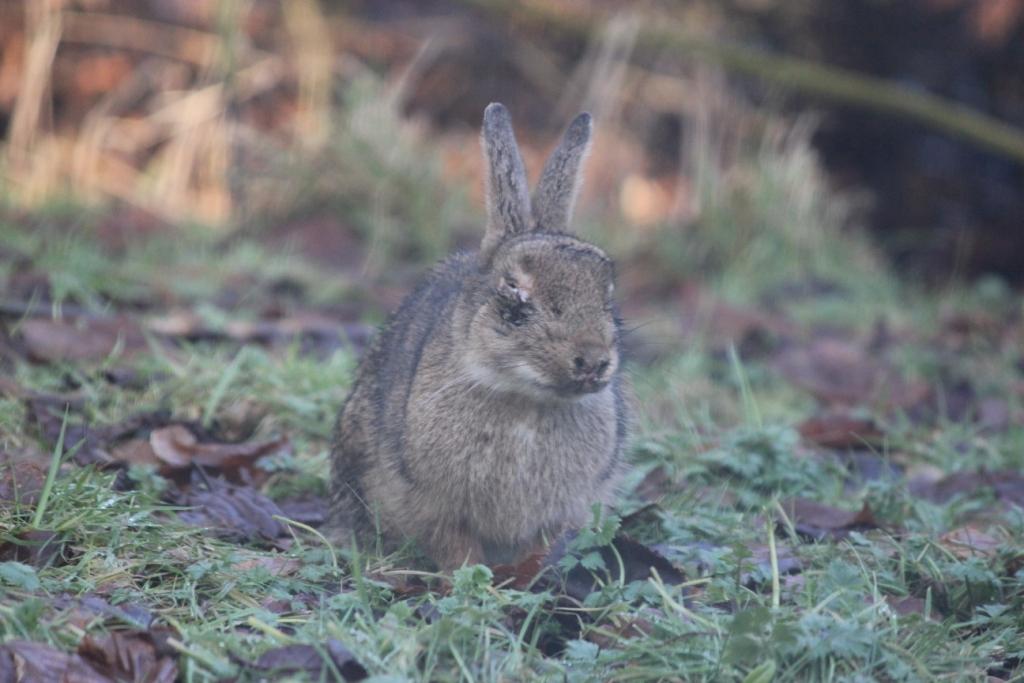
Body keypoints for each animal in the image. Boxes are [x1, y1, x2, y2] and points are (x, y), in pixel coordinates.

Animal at [329, 102, 629, 570]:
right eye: (514, 289)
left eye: (607, 290)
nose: (593, 359)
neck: (526, 400)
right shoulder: (435, 505)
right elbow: (456, 550)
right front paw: (474, 579)